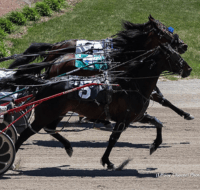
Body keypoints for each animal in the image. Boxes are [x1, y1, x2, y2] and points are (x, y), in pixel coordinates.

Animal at [2, 43, 191, 171]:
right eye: (174, 56)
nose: (189, 69)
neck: (129, 83)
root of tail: (45, 82)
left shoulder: (136, 116)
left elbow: (158, 122)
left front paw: (154, 145)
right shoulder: (123, 119)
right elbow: (113, 139)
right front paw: (107, 161)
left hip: (57, 113)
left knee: (50, 129)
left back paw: (69, 147)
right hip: (45, 114)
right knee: (26, 134)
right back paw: (10, 162)